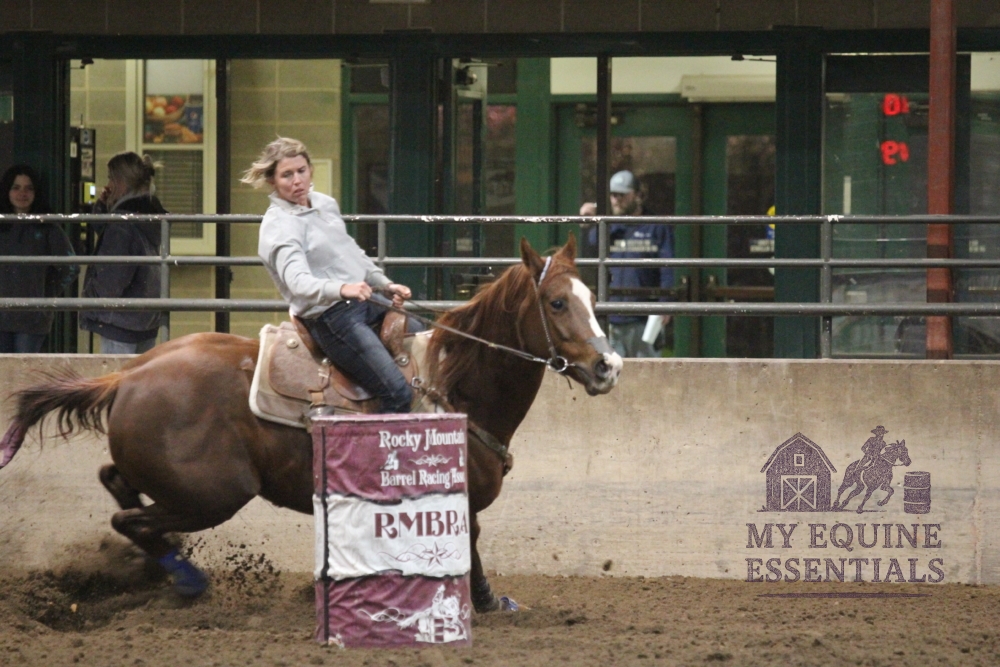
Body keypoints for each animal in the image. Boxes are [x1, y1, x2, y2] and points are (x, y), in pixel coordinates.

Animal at [0, 234, 622, 611]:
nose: (608, 366)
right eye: (557, 303)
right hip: (213, 494)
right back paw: (186, 577)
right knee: (130, 519)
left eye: (591, 298)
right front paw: (479, 601)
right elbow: (465, 542)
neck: (452, 386)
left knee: (117, 486)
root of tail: (128, 375)